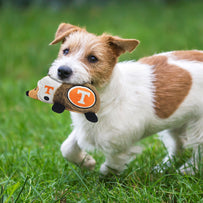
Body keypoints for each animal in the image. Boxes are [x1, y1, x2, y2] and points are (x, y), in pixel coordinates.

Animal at [48, 23, 202, 175]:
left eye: (93, 58)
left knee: (198, 151)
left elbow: (111, 166)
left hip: (198, 127)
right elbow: (67, 148)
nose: (63, 70)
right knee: (178, 145)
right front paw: (87, 162)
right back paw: (163, 168)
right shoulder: (85, 129)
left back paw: (188, 170)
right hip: (176, 122)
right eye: (66, 51)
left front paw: (104, 176)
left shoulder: (119, 146)